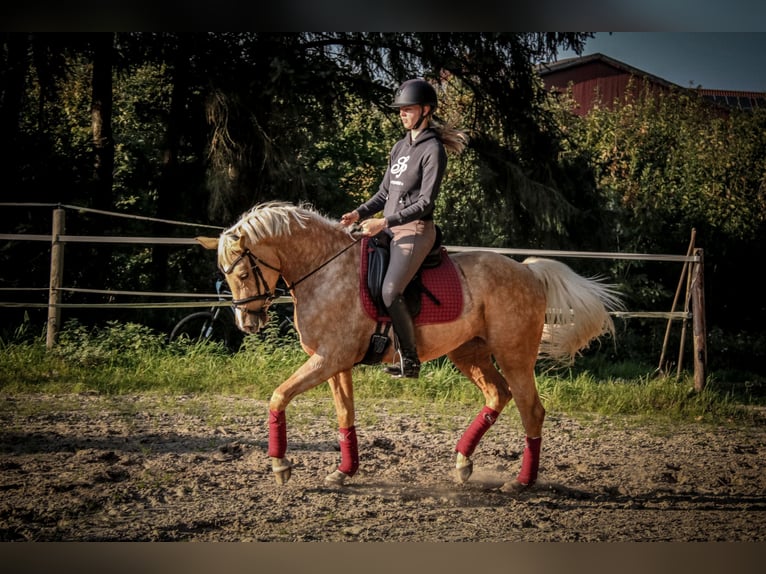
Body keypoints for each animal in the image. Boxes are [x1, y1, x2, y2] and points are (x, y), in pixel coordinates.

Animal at [198, 201, 624, 490]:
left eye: (240, 272)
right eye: (224, 274)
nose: (248, 323)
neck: (326, 270)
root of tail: (528, 271)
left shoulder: (328, 358)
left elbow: (278, 396)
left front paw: (280, 466)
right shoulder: (335, 362)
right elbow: (344, 414)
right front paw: (344, 471)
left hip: (514, 356)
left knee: (531, 410)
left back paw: (520, 482)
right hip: (469, 353)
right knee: (497, 396)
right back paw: (463, 462)